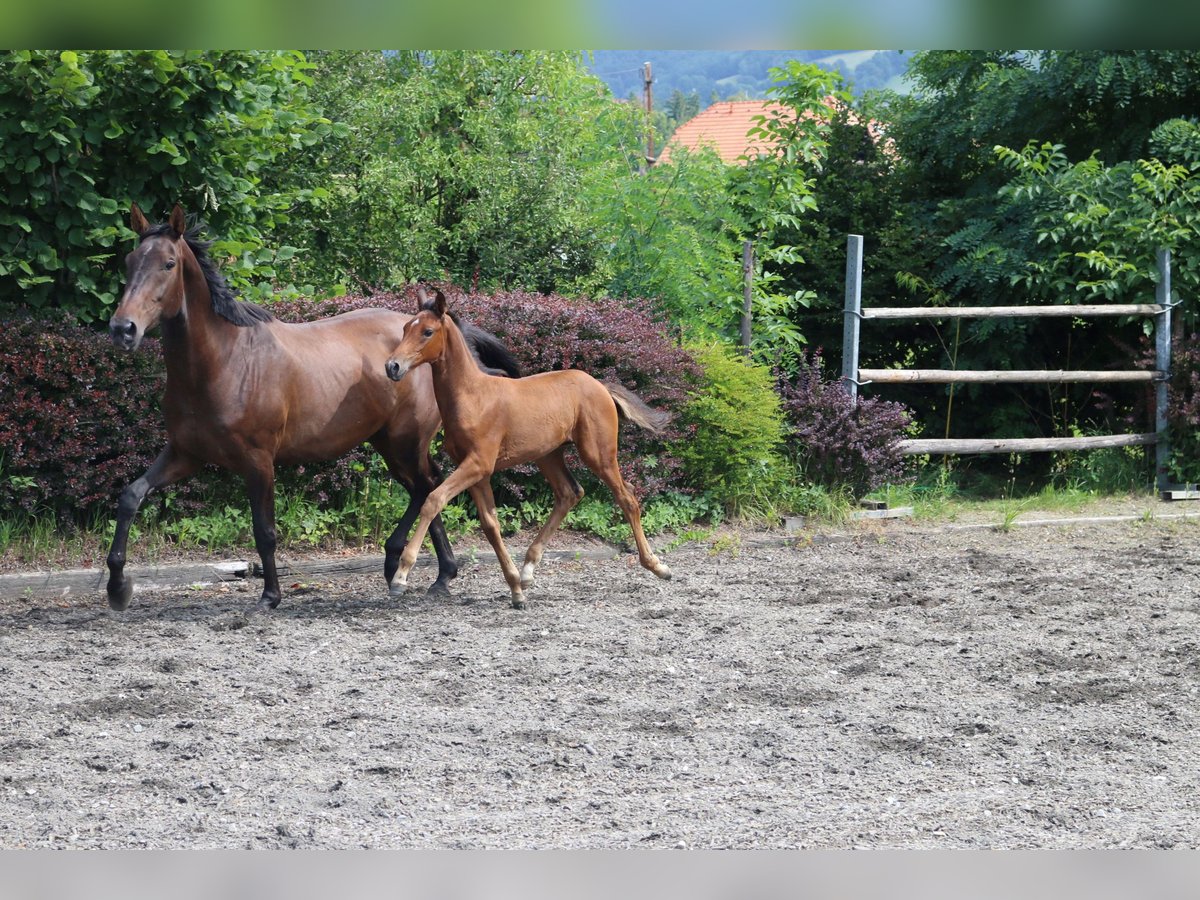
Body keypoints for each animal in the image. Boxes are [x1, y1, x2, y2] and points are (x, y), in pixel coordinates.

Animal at [104, 204, 516, 614]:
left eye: (168, 264)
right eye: (129, 261)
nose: (123, 329)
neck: (224, 362)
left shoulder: (258, 460)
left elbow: (264, 530)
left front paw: (270, 596)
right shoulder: (185, 453)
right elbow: (130, 497)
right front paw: (117, 588)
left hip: (404, 442)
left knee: (426, 486)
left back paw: (407, 563)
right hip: (390, 443)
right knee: (429, 486)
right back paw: (435, 573)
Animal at [381, 292, 672, 609]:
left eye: (427, 331)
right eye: (406, 327)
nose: (392, 367)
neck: (473, 397)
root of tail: (600, 385)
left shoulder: (477, 464)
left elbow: (433, 499)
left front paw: (401, 576)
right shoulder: (478, 472)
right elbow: (490, 525)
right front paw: (516, 589)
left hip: (598, 453)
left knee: (627, 498)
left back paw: (658, 566)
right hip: (548, 455)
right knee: (570, 493)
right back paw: (528, 570)